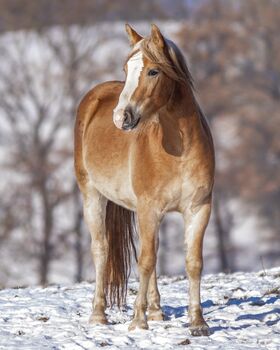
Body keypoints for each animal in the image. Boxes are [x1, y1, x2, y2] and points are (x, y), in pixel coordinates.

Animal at [74, 23, 214, 336]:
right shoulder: (148, 209)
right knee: (101, 250)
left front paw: (198, 323)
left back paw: (157, 311)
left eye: (153, 71)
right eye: (127, 69)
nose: (120, 118)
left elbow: (193, 262)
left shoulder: (198, 209)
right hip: (92, 195)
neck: (178, 150)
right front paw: (138, 321)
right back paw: (98, 315)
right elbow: (146, 261)